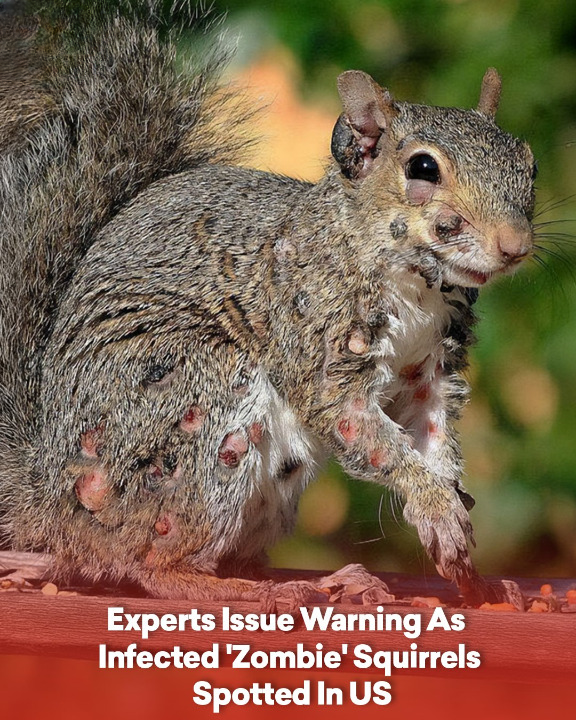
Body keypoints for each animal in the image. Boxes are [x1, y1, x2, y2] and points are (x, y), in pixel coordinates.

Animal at [0, 1, 535, 608]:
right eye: (423, 168)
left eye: (529, 164)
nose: (515, 246)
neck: (418, 287)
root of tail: (54, 501)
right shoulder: (318, 342)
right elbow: (365, 430)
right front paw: (435, 505)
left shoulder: (431, 373)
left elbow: (434, 439)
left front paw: (464, 549)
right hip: (195, 406)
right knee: (145, 563)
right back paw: (246, 590)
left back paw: (332, 581)